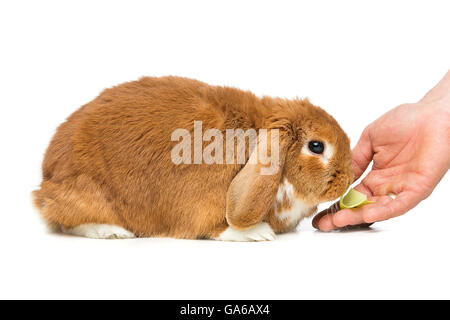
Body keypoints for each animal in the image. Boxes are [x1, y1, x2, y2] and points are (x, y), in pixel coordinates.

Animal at [33, 75, 354, 240]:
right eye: (316, 146)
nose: (349, 177)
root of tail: (47, 177)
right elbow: (221, 230)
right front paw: (259, 233)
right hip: (85, 194)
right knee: (67, 221)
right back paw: (112, 232)